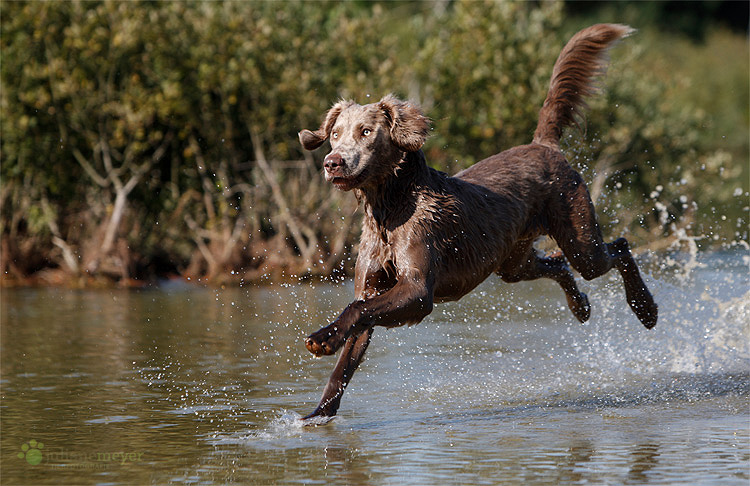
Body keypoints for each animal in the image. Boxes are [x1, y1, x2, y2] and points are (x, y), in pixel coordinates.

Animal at [300, 23, 656, 422]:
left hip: (581, 238)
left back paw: (646, 309)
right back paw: (581, 306)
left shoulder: (418, 291)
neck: (389, 211)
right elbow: (345, 360)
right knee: (557, 263)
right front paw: (315, 415)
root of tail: (544, 145)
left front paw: (322, 338)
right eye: (334, 134)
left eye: (365, 132)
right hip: (513, 261)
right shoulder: (372, 287)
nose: (332, 163)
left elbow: (358, 311)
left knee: (618, 247)